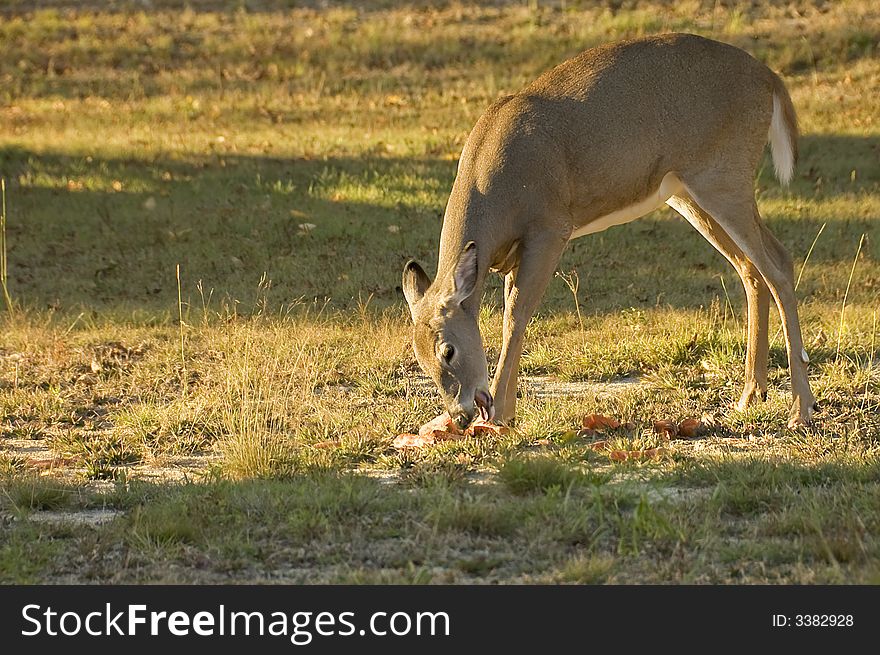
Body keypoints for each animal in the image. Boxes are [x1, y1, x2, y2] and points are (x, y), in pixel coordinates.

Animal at [400, 34, 820, 436]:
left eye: (448, 350)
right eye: (419, 359)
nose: (462, 416)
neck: (498, 189)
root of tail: (770, 78)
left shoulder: (550, 226)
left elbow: (515, 316)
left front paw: (501, 416)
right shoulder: (514, 253)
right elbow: (511, 314)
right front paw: (506, 414)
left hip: (724, 178)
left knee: (779, 263)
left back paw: (800, 411)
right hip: (688, 194)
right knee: (751, 270)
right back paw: (750, 395)